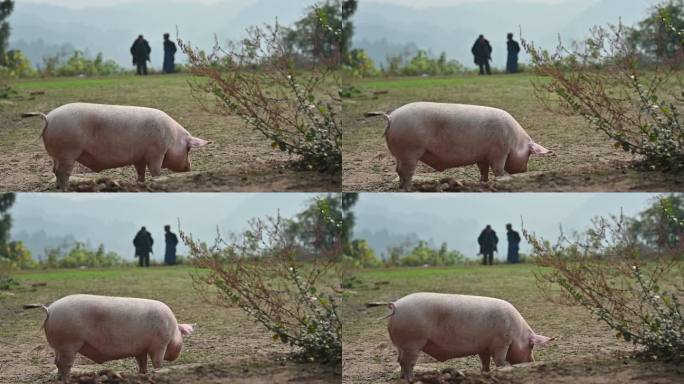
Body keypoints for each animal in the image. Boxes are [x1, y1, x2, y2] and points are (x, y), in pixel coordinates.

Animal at [24, 103, 210, 191]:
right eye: (188, 149)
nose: (189, 167)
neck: (173, 138)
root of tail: (48, 117)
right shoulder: (156, 152)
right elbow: (155, 171)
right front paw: (156, 181)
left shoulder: (139, 157)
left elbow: (140, 172)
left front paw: (140, 184)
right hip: (68, 152)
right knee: (63, 172)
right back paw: (66, 189)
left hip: (57, 154)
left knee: (55, 170)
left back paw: (58, 188)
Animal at [25, 294, 194, 380]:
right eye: (182, 337)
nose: (176, 356)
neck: (172, 330)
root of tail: (49, 309)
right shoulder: (160, 344)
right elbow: (157, 362)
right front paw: (159, 372)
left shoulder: (140, 349)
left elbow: (142, 363)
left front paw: (143, 375)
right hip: (70, 343)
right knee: (64, 364)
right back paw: (67, 380)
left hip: (59, 346)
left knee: (57, 363)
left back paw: (61, 379)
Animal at [366, 102, 552, 190]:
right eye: (529, 154)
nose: (524, 170)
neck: (515, 141)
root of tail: (391, 117)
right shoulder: (499, 153)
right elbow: (498, 170)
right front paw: (501, 179)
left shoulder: (483, 156)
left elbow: (483, 171)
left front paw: (483, 182)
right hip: (411, 151)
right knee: (406, 172)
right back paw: (409, 189)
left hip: (401, 154)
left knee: (398, 171)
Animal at [384, 294, 552, 380]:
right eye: (531, 346)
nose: (532, 361)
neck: (517, 332)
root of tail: (395, 306)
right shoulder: (502, 342)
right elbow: (500, 361)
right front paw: (502, 368)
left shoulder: (484, 347)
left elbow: (485, 362)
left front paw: (485, 373)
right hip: (413, 342)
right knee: (409, 362)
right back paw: (411, 380)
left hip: (402, 345)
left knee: (400, 361)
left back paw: (402, 378)